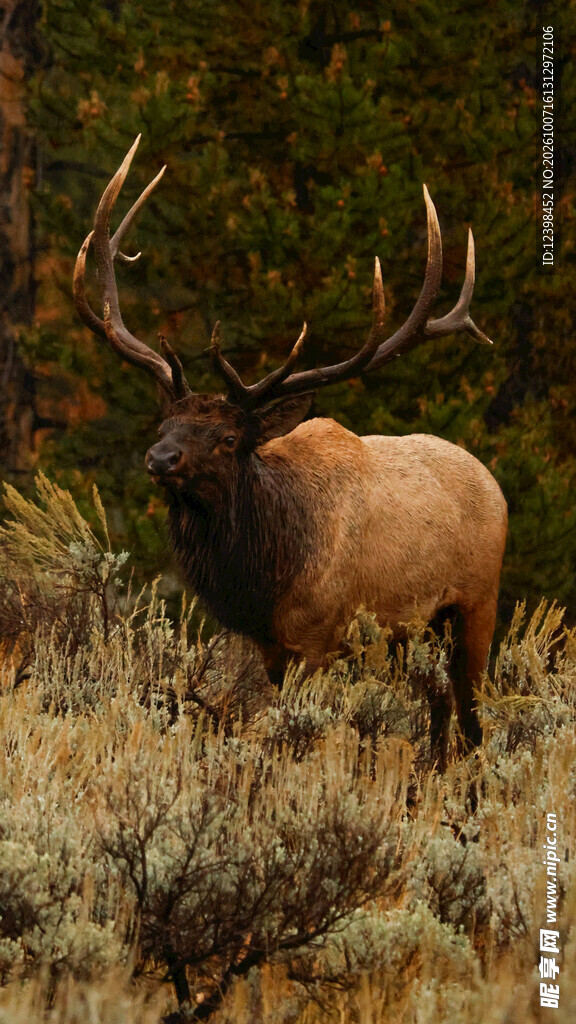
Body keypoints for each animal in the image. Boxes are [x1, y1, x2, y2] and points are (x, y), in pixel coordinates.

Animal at [74, 136, 507, 767]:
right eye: (165, 423)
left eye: (229, 439)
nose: (160, 461)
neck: (260, 579)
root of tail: (494, 485)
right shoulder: (273, 647)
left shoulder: (316, 638)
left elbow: (299, 735)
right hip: (414, 632)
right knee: (439, 707)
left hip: (476, 602)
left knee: (473, 716)